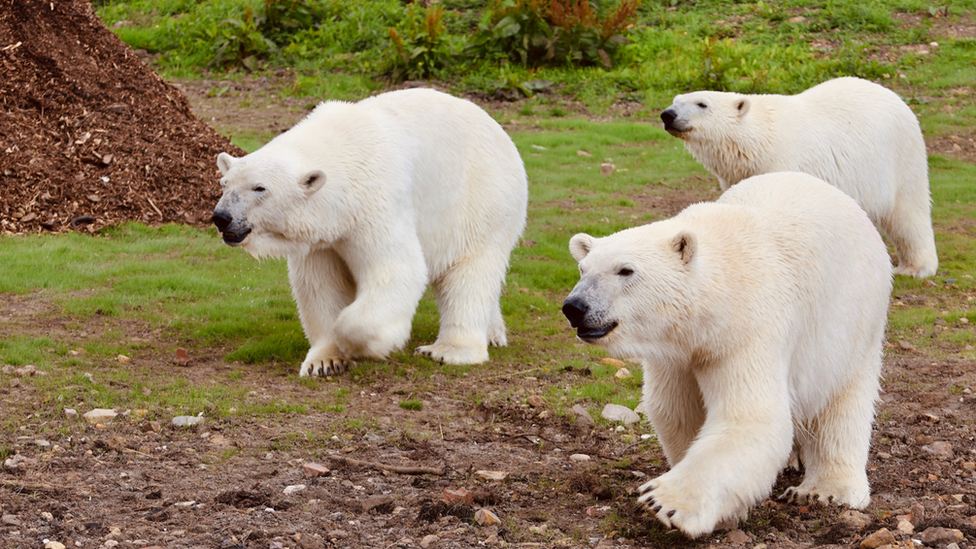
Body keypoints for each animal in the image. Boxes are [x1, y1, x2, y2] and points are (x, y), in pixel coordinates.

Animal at [212, 88, 528, 374]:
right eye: (224, 183)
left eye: (259, 188)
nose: (221, 217)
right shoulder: (322, 235)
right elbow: (321, 286)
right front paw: (325, 361)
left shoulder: (374, 204)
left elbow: (396, 270)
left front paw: (361, 344)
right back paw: (493, 333)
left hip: (480, 200)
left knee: (469, 271)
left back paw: (448, 350)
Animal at [564, 173, 892, 536]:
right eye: (582, 269)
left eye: (625, 270)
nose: (575, 307)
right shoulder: (678, 352)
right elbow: (676, 411)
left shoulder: (750, 329)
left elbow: (750, 418)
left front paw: (665, 501)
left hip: (853, 323)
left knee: (841, 404)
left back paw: (824, 491)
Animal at [664, 76, 936, 278]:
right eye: (676, 99)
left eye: (702, 104)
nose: (668, 115)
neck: (762, 139)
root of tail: (893, 96)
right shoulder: (738, 174)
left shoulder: (784, 162)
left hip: (899, 156)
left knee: (908, 211)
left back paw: (916, 268)